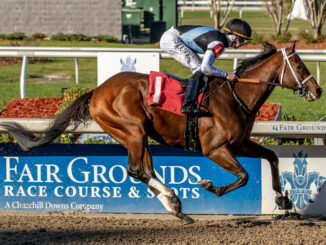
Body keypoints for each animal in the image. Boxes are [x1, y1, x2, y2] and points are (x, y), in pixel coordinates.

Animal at [0, 42, 320, 224]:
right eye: (300, 64)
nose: (317, 90)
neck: (235, 96)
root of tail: (97, 91)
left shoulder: (240, 144)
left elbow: (272, 157)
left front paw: (283, 200)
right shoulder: (215, 149)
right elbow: (243, 177)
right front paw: (209, 186)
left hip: (139, 137)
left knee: (144, 170)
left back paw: (176, 208)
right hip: (132, 130)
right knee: (136, 170)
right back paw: (175, 202)